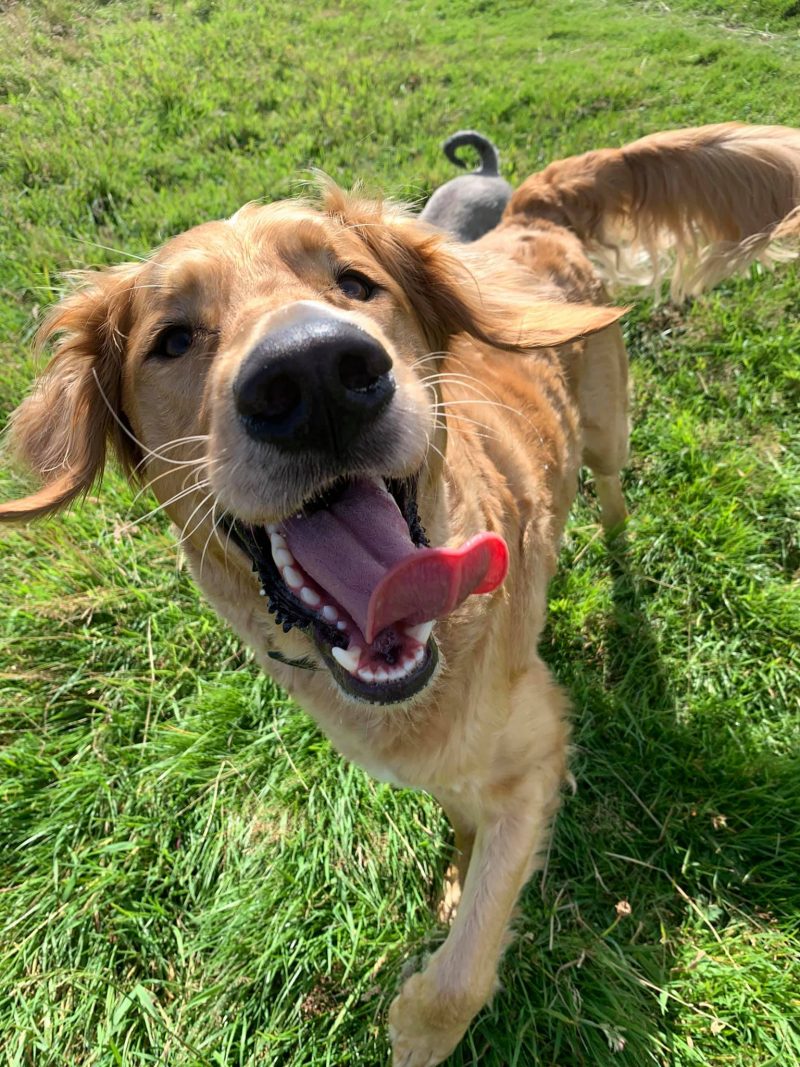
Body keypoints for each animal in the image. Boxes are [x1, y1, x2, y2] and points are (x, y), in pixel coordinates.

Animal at [4, 121, 800, 1062]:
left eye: (355, 283)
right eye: (172, 339)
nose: (315, 374)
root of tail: (529, 213)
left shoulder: (538, 748)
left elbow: (463, 968)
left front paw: (421, 1019)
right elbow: (463, 827)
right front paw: (455, 869)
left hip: (610, 423)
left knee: (610, 495)